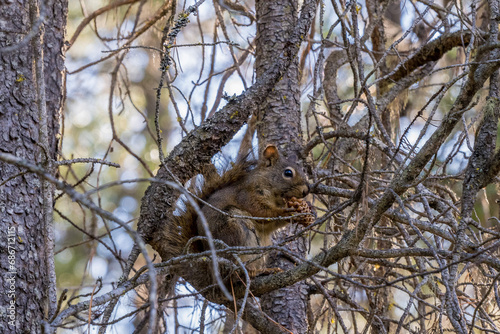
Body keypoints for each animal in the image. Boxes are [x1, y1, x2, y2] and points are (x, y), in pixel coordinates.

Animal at [156, 144, 312, 284]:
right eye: (288, 173)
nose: (306, 191)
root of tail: (213, 273)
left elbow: (271, 224)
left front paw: (303, 212)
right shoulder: (247, 196)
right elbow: (262, 212)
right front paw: (287, 212)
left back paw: (267, 270)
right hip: (233, 230)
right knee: (235, 273)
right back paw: (251, 272)